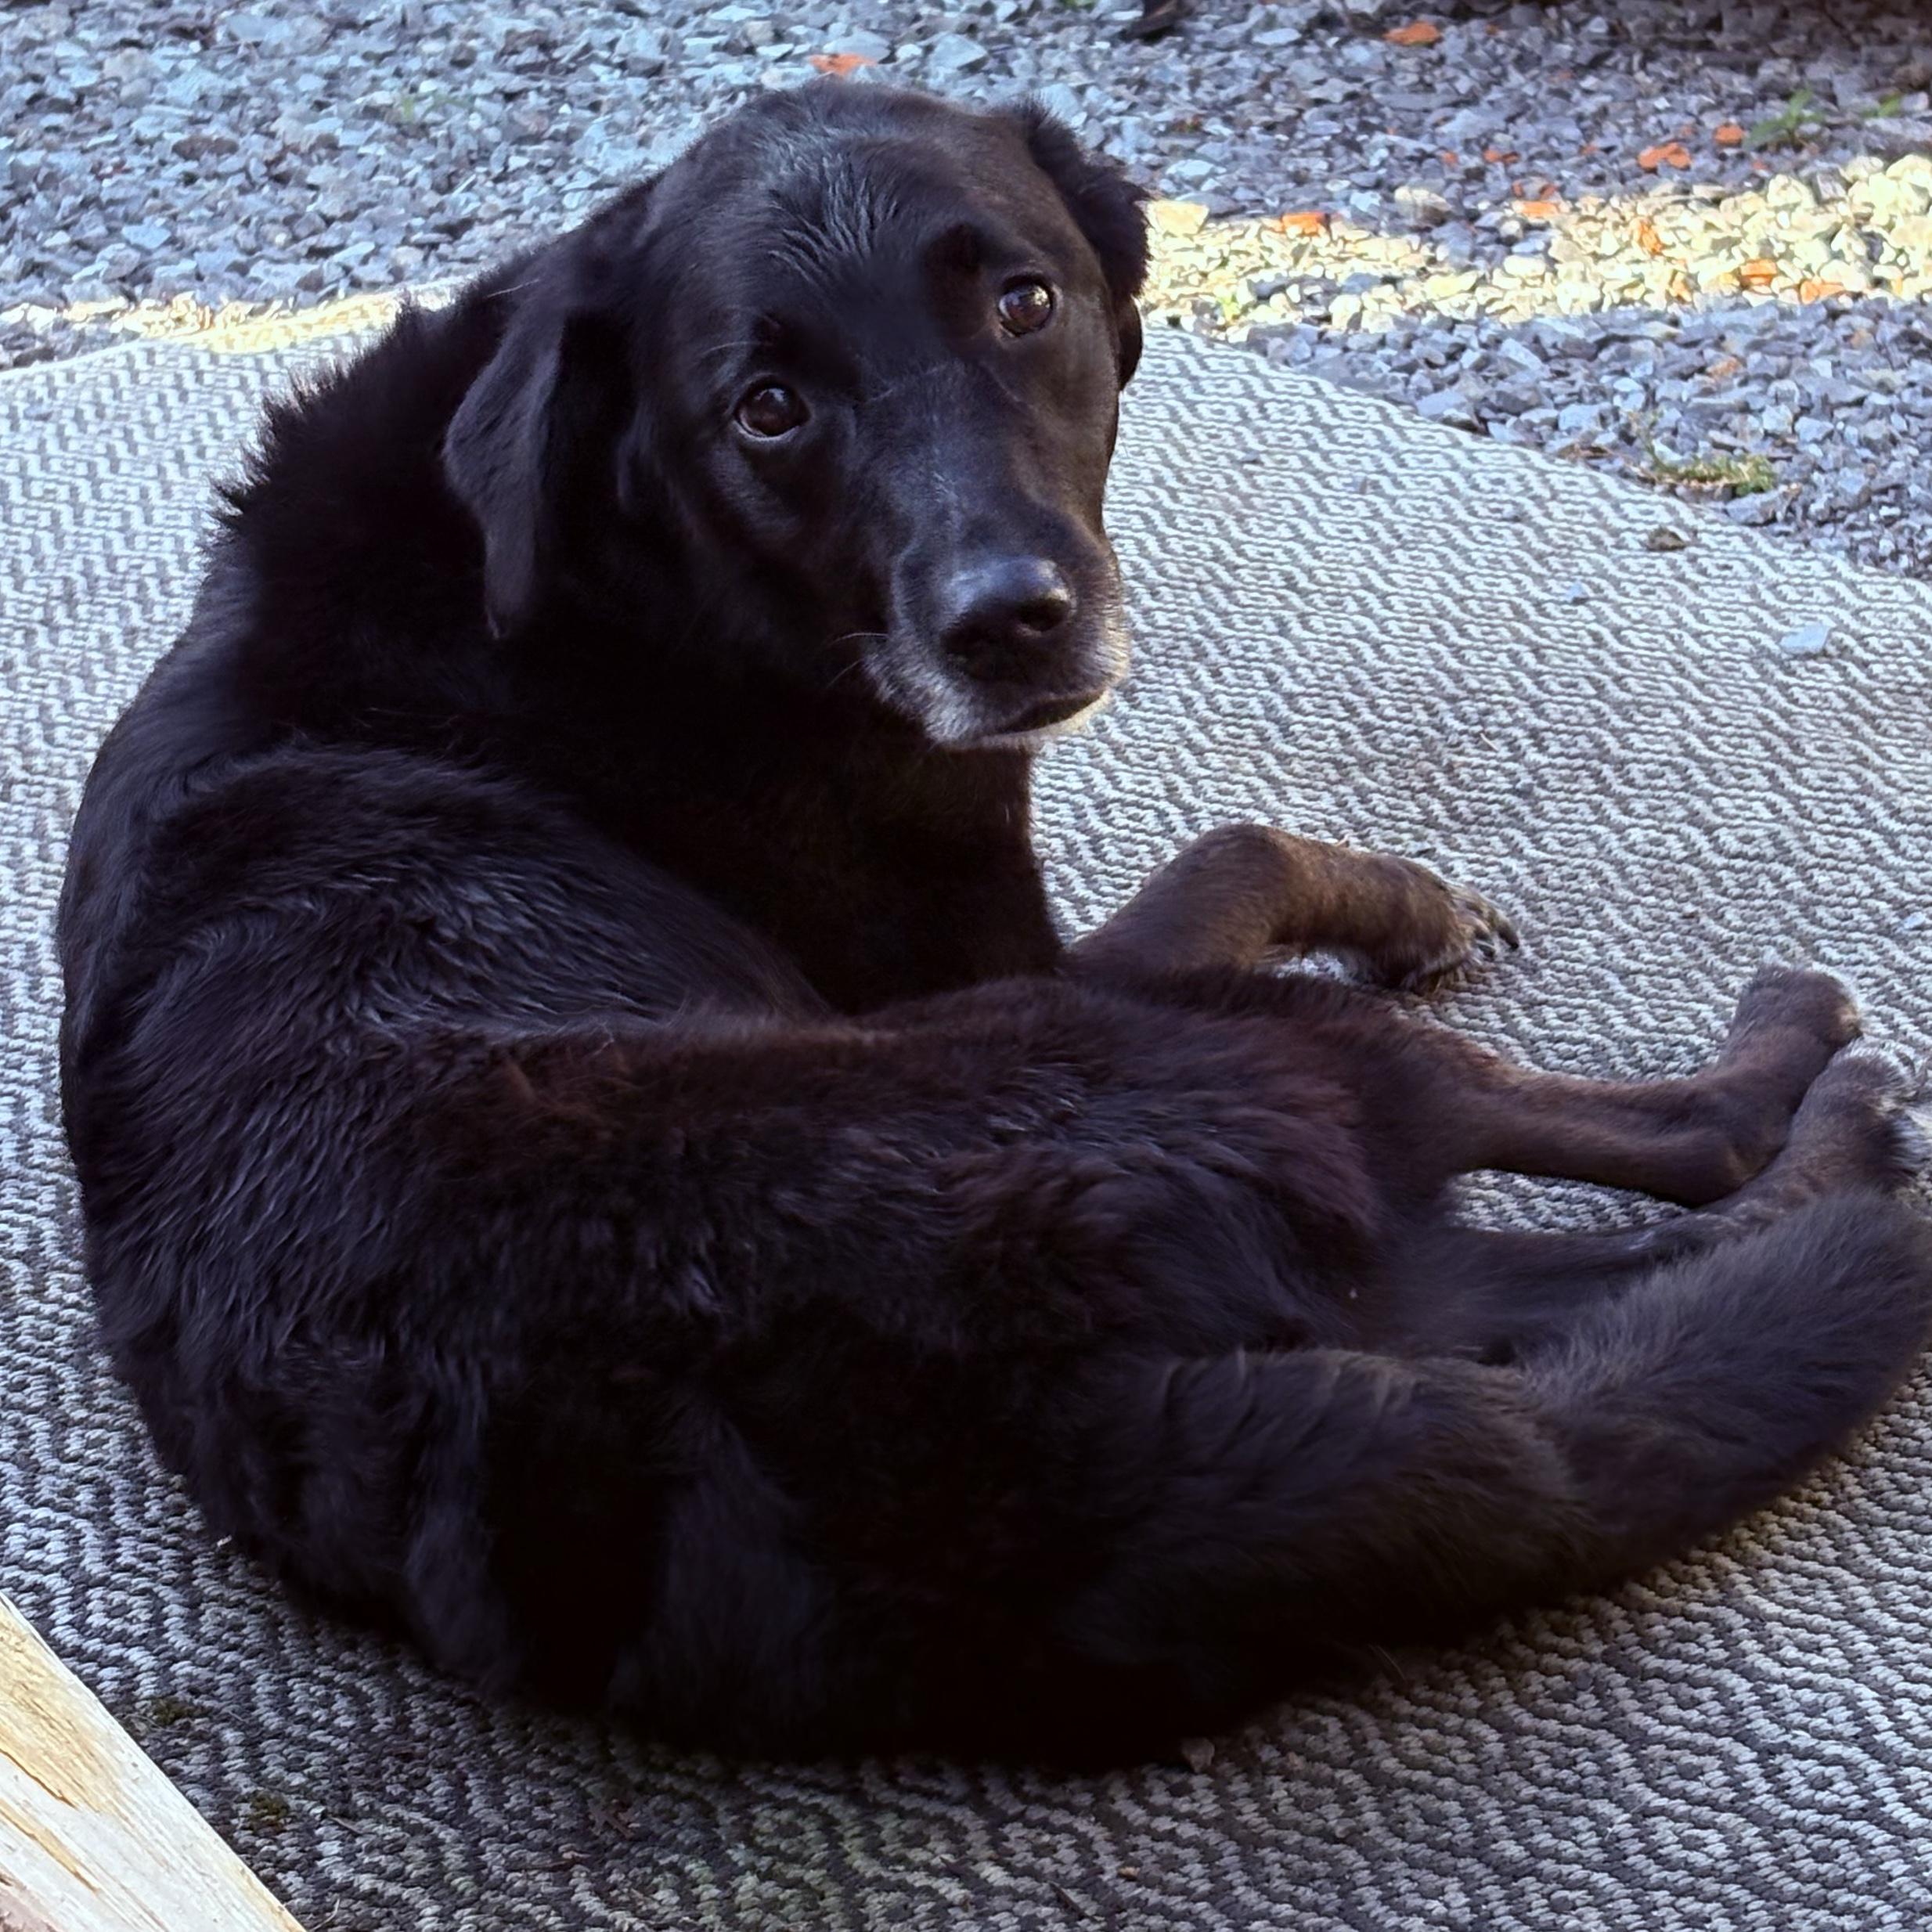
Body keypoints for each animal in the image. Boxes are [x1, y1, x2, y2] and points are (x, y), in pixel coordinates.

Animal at [58, 82, 1932, 1762]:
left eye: (1022, 303)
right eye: (766, 406)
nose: (1004, 627)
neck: (611, 574)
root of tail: (1033, 1459)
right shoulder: (1030, 951)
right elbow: (1234, 850)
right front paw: (1406, 902)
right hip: (1204, 1057)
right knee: (1687, 1169)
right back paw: (1818, 1086)